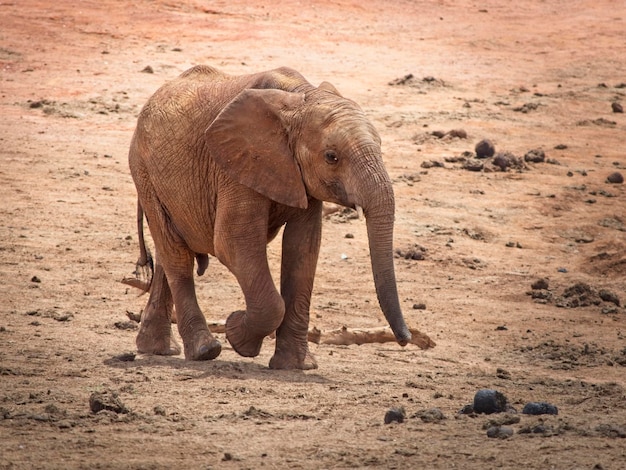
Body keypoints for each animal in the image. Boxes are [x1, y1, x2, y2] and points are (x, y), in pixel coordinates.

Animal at [125, 64, 412, 370]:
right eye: (331, 157)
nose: (405, 339)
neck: (302, 98)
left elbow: (303, 249)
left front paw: (297, 366)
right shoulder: (234, 164)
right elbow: (233, 243)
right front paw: (237, 334)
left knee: (167, 253)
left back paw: (159, 349)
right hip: (144, 172)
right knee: (176, 256)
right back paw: (204, 351)